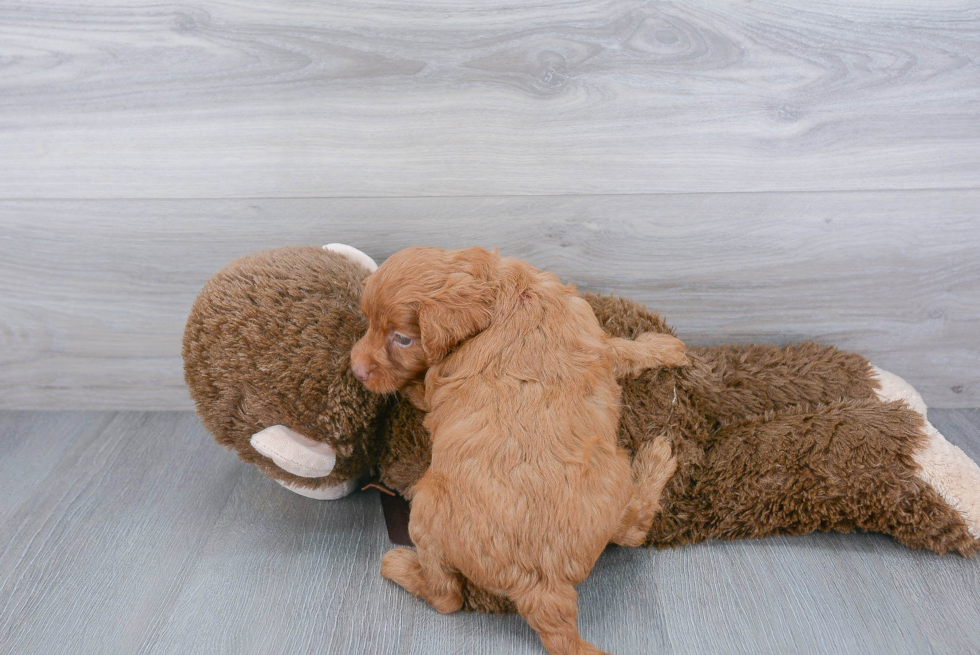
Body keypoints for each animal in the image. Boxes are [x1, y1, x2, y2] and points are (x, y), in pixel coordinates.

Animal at [352, 247, 688, 655]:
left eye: (402, 339)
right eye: (367, 321)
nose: (356, 369)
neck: (504, 298)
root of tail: (540, 584)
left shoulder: (431, 386)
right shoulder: (589, 333)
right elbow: (619, 348)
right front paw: (666, 347)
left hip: (425, 512)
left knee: (447, 597)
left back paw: (399, 565)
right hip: (613, 477)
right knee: (629, 531)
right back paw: (657, 460)